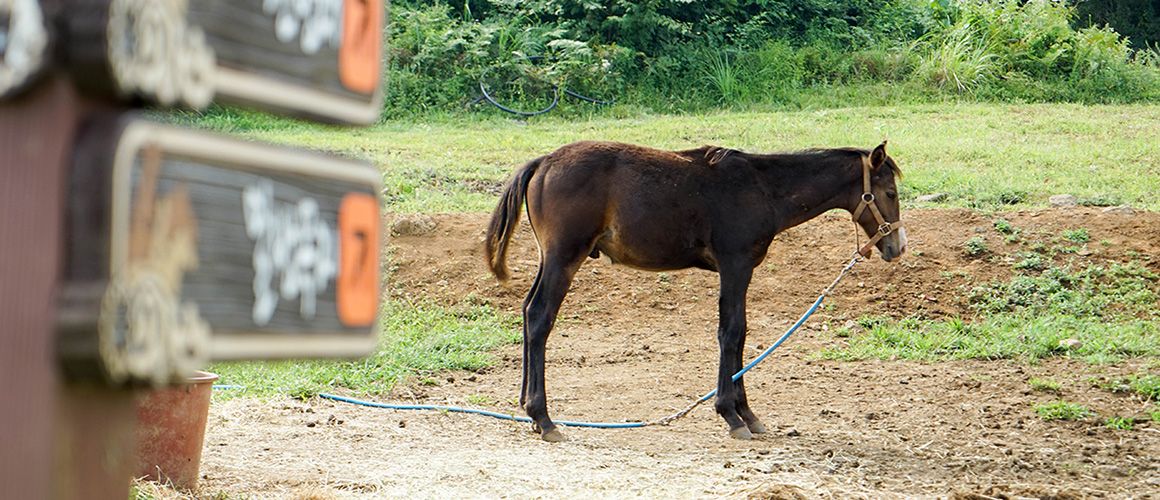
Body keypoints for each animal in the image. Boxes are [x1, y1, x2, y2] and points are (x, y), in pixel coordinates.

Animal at [484, 140, 900, 443]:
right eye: (891, 192)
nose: (897, 247)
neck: (763, 187)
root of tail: (544, 162)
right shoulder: (735, 267)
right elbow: (731, 333)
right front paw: (732, 415)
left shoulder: (738, 271)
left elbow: (739, 335)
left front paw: (747, 413)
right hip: (564, 258)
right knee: (540, 317)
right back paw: (544, 417)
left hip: (550, 259)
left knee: (527, 312)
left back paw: (528, 411)